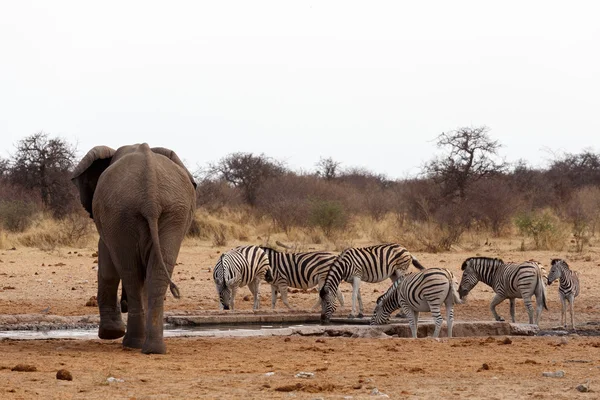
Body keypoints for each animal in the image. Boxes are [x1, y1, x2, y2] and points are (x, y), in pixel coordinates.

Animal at [71, 143, 196, 354]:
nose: (124, 305)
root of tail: (151, 196)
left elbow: (107, 266)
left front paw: (110, 334)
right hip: (168, 214)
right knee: (153, 274)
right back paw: (152, 348)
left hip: (127, 214)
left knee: (130, 273)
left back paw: (132, 343)